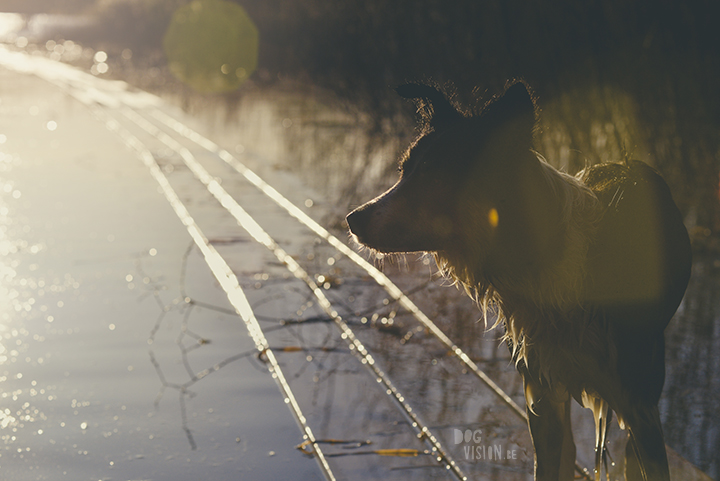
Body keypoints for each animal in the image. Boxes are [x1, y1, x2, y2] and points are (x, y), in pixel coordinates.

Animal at [346, 80, 696, 478]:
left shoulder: (640, 407)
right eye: (404, 171)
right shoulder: (541, 393)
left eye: (434, 177)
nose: (352, 220)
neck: (543, 254)